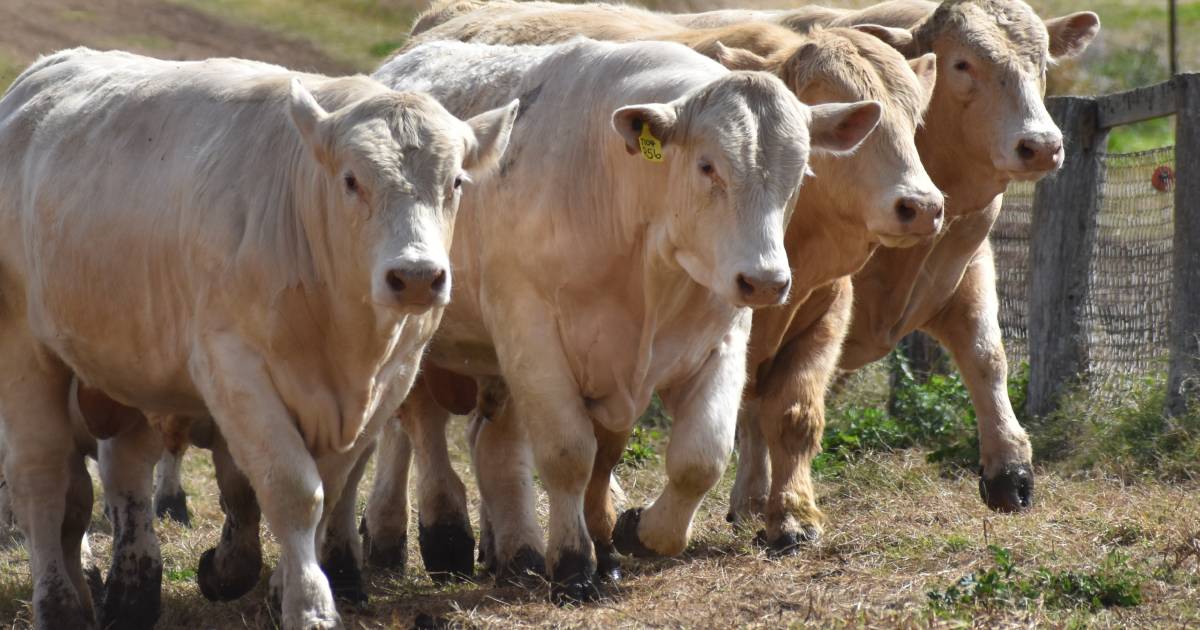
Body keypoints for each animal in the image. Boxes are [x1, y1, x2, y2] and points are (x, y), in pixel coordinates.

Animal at [0, 49, 513, 628]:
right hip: (23, 349)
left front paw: (268, 584)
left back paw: (129, 595)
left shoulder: (391, 380)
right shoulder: (234, 367)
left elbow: (324, 488)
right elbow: (294, 491)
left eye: (457, 182)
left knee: (117, 476)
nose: (418, 276)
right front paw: (310, 604)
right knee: (41, 481)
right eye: (351, 180)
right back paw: (60, 602)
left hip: (126, 370)